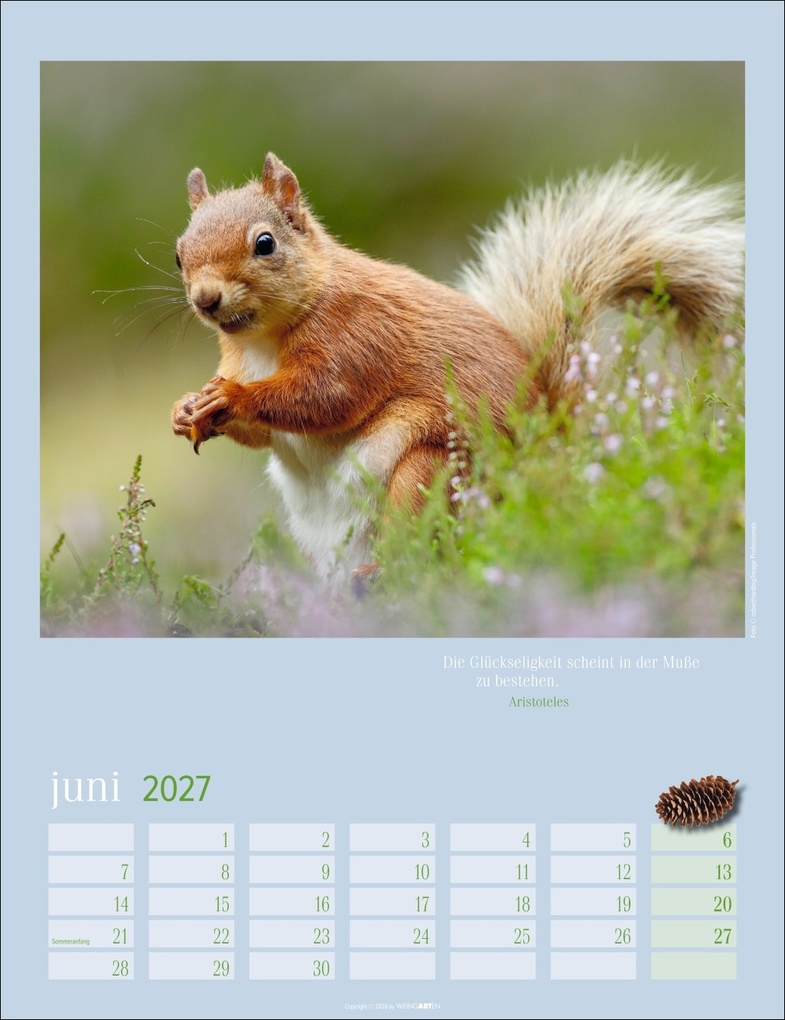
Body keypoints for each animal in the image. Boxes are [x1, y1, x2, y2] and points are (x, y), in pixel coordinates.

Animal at [171, 153, 744, 582]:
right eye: (179, 254)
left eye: (264, 243)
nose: (205, 299)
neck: (262, 341)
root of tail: (549, 465)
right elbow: (264, 434)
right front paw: (187, 409)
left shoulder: (356, 338)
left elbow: (325, 397)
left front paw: (232, 399)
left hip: (431, 471)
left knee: (423, 544)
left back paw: (382, 572)